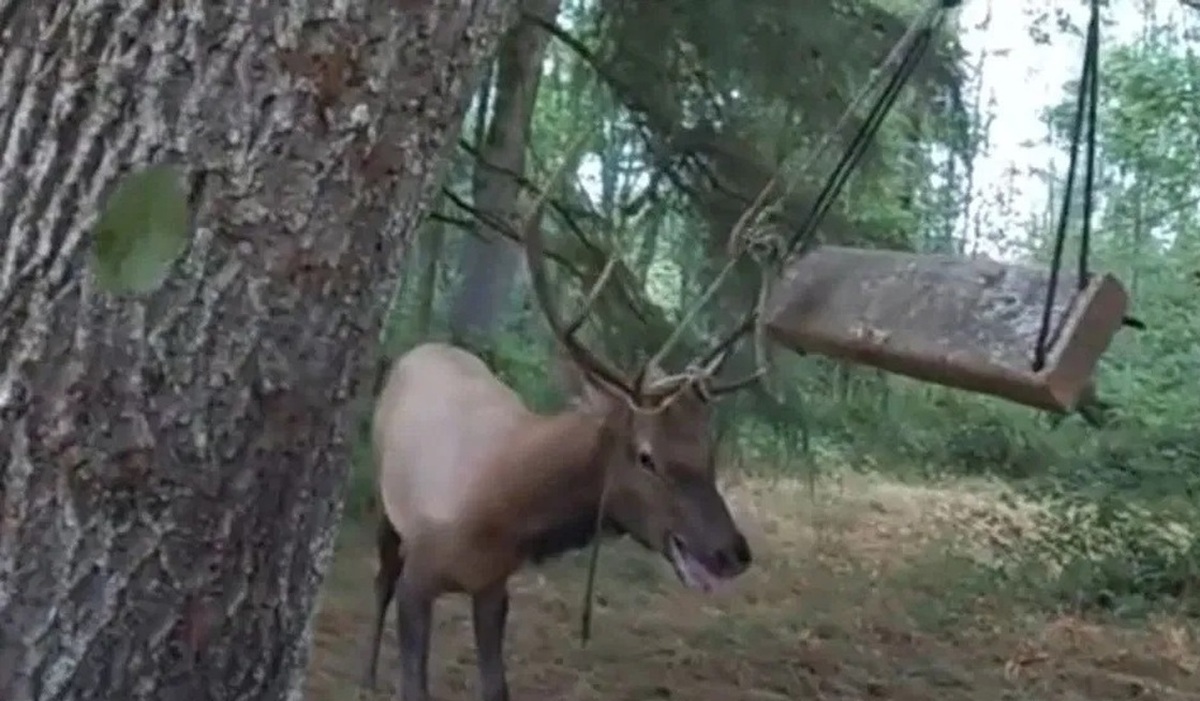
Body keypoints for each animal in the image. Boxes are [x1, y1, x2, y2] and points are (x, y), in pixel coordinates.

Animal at [362, 214, 758, 701]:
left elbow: (496, 688)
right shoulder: (419, 577)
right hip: (384, 500)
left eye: (708, 447)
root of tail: (420, 349)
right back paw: (366, 677)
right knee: (380, 581)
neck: (498, 515)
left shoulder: (493, 585)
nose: (733, 552)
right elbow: (413, 682)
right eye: (646, 457)